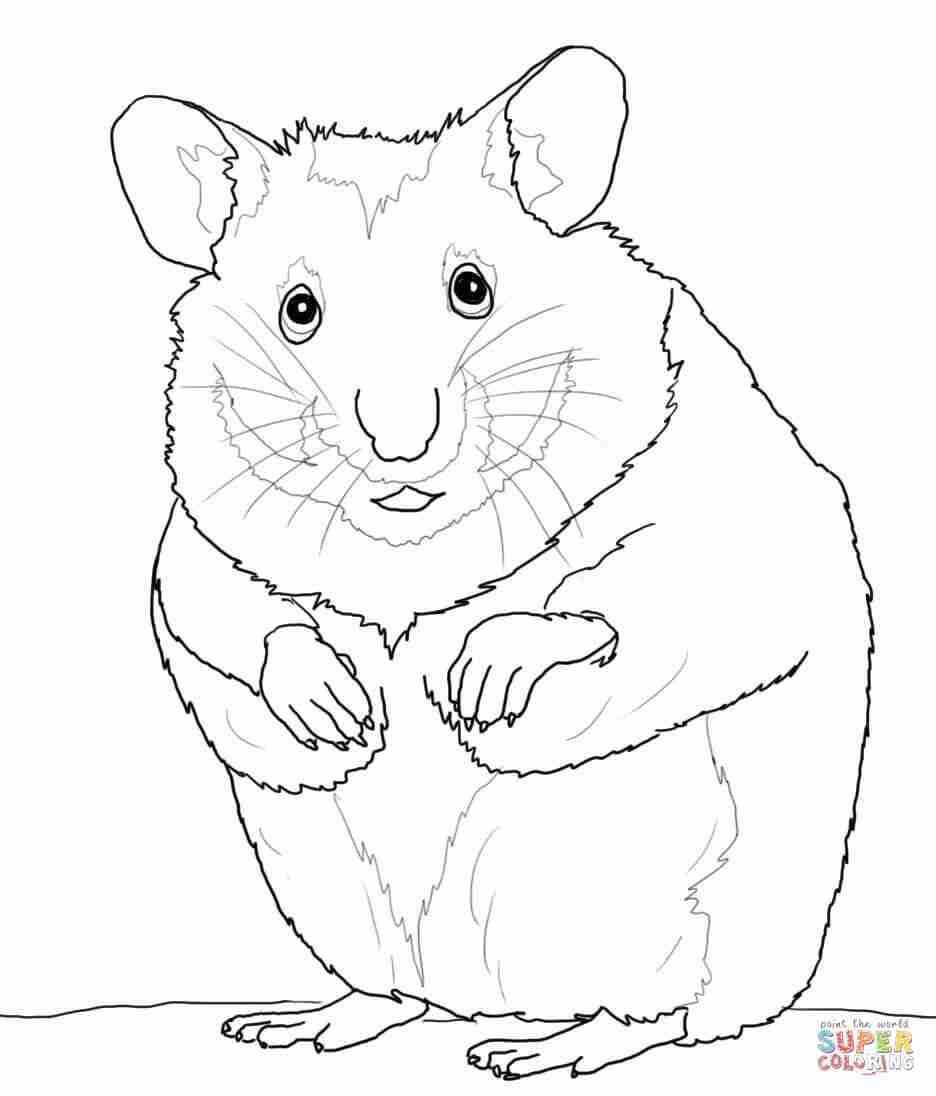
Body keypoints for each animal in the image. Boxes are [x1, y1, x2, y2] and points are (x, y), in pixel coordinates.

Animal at [112, 46, 872, 1077]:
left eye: (472, 288)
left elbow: (657, 585)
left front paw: (474, 681)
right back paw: (305, 1022)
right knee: (395, 991)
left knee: (658, 1012)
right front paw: (340, 709)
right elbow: (222, 608)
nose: (400, 448)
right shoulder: (202, 529)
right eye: (298, 310)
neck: (409, 552)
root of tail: (475, 998)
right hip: (334, 894)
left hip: (655, 904)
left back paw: (543, 1048)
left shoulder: (730, 499)